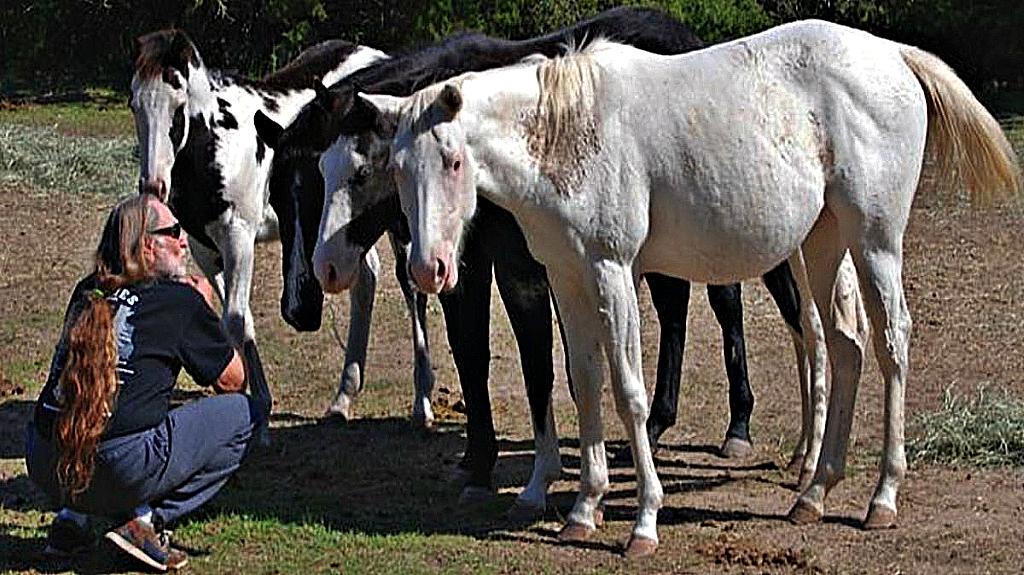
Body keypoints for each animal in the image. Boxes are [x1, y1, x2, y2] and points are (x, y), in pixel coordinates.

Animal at [126, 31, 440, 421]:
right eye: (134, 104)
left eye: (178, 105)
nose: (153, 186)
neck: (214, 143)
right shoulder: (204, 249)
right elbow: (236, 322)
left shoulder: (238, 237)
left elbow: (236, 319)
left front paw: (260, 401)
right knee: (365, 278)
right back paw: (343, 397)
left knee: (412, 289)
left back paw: (422, 401)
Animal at [253, 6, 856, 509]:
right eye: (281, 189)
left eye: (358, 173)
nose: (314, 285)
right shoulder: (470, 270)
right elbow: (475, 355)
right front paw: (478, 462)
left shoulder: (519, 272)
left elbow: (536, 364)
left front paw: (535, 475)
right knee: (679, 311)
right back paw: (664, 426)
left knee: (733, 308)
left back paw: (738, 428)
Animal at [360, 20, 1015, 552]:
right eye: (398, 168)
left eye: (453, 161)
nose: (429, 268)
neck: (566, 132)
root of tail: (893, 54)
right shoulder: (567, 278)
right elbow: (584, 384)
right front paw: (584, 509)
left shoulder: (612, 271)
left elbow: (628, 390)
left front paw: (643, 522)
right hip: (824, 241)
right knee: (844, 346)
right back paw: (813, 493)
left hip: (873, 240)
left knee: (891, 344)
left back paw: (882, 497)